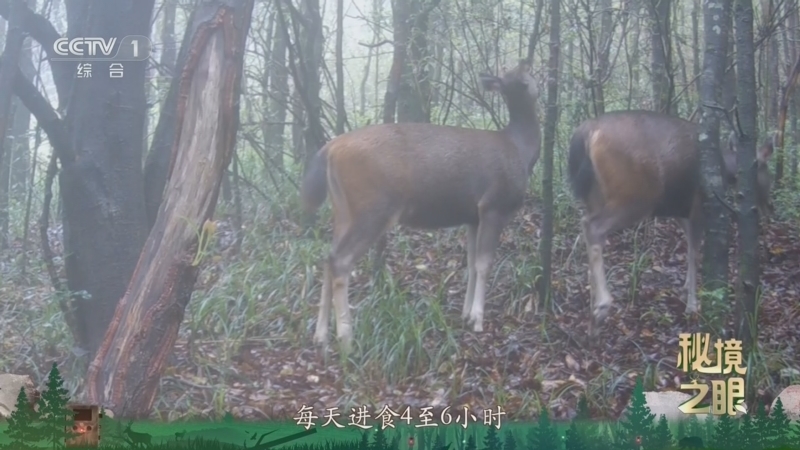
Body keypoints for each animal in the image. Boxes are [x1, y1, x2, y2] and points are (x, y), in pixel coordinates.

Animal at [300, 60, 542, 352]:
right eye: (526, 77)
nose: (535, 70)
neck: (521, 150)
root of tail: (330, 148)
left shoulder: (472, 216)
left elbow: (471, 263)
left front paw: (465, 313)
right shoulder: (493, 205)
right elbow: (484, 263)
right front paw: (477, 319)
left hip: (343, 209)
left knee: (327, 255)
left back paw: (320, 335)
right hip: (374, 207)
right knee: (340, 260)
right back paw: (346, 339)